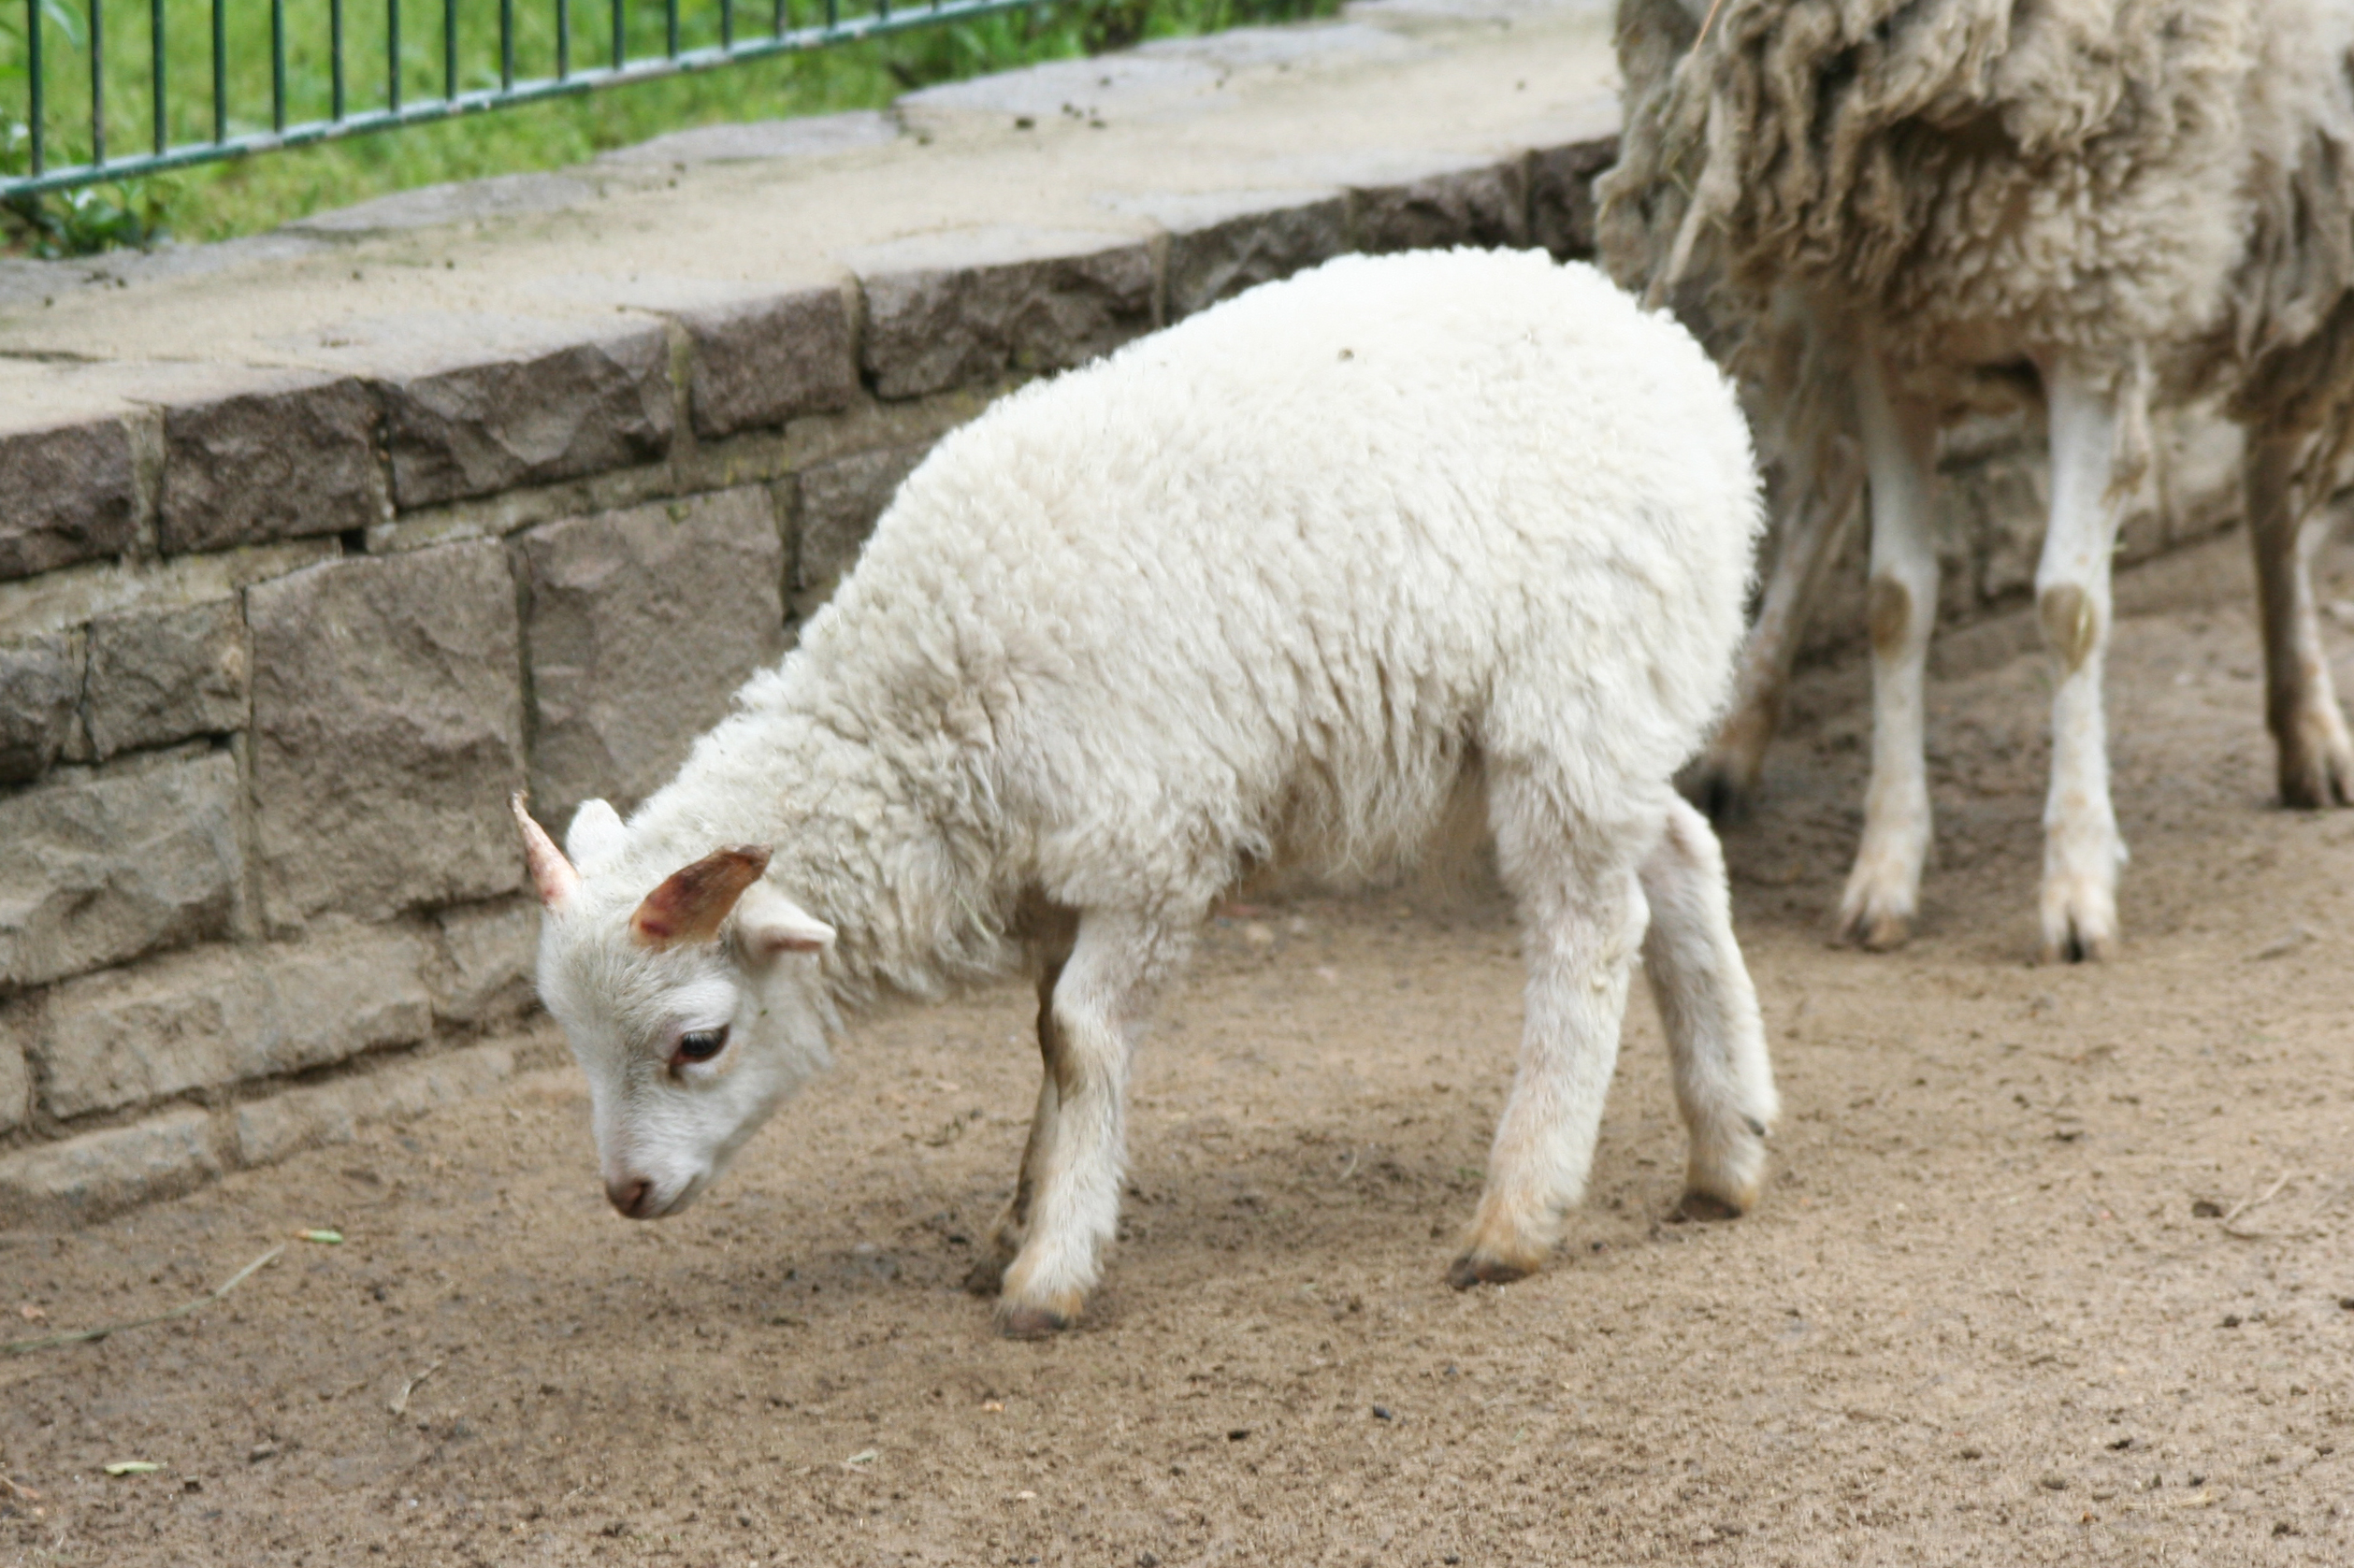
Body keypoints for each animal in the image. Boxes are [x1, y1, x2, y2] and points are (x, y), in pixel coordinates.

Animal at [508, 247, 1779, 1337]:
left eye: (700, 1042)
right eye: (571, 1037)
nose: (625, 1194)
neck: (918, 708)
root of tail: (1679, 363)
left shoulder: (1150, 844)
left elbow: (1079, 1042)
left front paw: (1051, 1271)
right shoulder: (1057, 877)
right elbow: (1044, 1039)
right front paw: (1019, 1220)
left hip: (1568, 696)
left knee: (1588, 927)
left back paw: (1518, 1216)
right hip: (1580, 718)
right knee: (1679, 853)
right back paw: (1728, 1153)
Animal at [1597, 0, 2354, 961]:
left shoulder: (2096, 310)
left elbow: (2069, 609)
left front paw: (2076, 878)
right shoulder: (1882, 324)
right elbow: (1892, 600)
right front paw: (1884, 868)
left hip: (2303, 218)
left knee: (2275, 476)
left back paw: (2310, 728)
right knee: (1829, 479)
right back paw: (1735, 735)